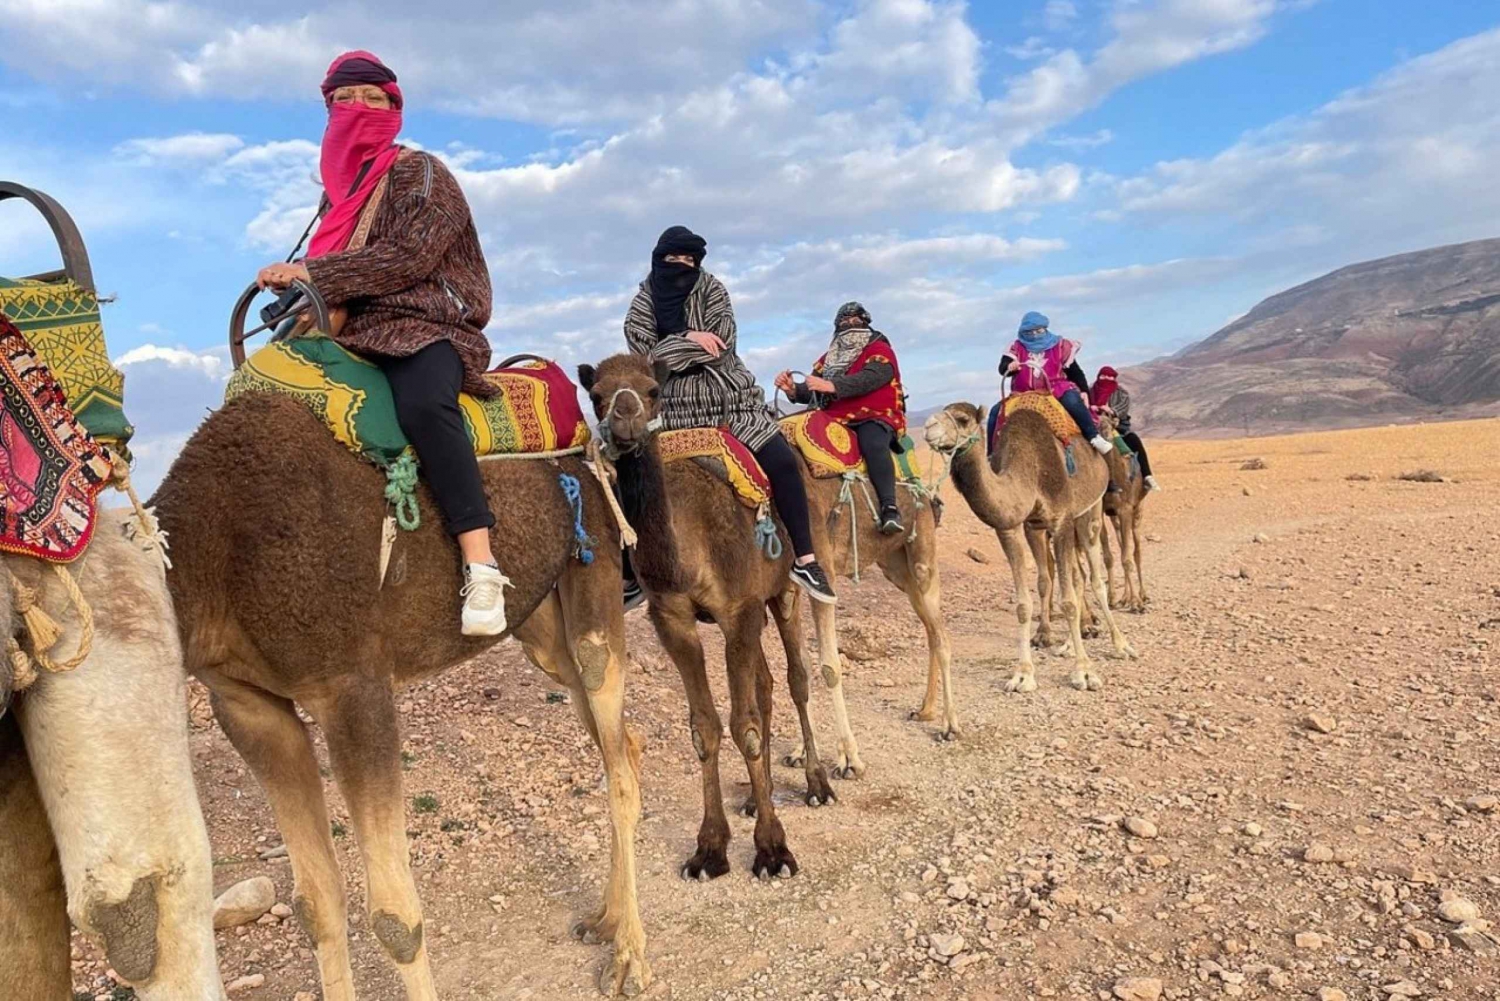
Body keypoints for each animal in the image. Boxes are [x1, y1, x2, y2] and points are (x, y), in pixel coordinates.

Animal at [151, 392, 650, 1000]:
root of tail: (589, 456)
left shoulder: (353, 689)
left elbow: (395, 919)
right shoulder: (247, 705)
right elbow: (315, 904)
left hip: (595, 567)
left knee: (614, 743)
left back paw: (629, 959)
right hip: (540, 625)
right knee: (618, 740)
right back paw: (605, 919)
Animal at [579, 354, 953, 883]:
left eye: (652, 390)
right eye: (596, 396)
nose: (626, 422)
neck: (688, 539)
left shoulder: (740, 609)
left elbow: (747, 727)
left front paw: (773, 849)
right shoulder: (674, 621)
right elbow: (705, 729)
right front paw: (709, 849)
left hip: (790, 590)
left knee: (798, 678)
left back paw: (817, 782)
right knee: (770, 684)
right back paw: (764, 796)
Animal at [925, 403, 1135, 693]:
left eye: (962, 419)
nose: (928, 427)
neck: (1029, 472)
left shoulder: (1061, 520)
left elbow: (1068, 601)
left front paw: (1084, 672)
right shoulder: (1019, 527)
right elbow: (1026, 601)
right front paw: (1023, 674)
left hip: (1090, 512)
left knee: (1095, 579)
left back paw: (1121, 644)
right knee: (1077, 577)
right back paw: (1069, 644)